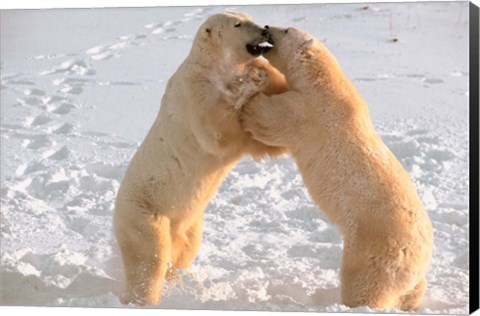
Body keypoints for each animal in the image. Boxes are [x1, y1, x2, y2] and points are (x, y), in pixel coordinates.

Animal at [114, 12, 286, 306]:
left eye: (249, 16)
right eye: (238, 24)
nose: (264, 29)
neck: (211, 67)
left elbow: (263, 141)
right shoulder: (194, 95)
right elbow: (216, 133)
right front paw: (250, 82)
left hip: (189, 223)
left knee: (184, 251)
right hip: (144, 212)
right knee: (151, 256)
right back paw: (143, 298)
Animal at [242, 26, 434, 312]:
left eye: (285, 30)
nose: (266, 27)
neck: (324, 81)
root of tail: (422, 252)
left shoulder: (309, 111)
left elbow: (273, 118)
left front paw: (250, 98)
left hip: (375, 248)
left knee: (365, 285)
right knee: (413, 288)